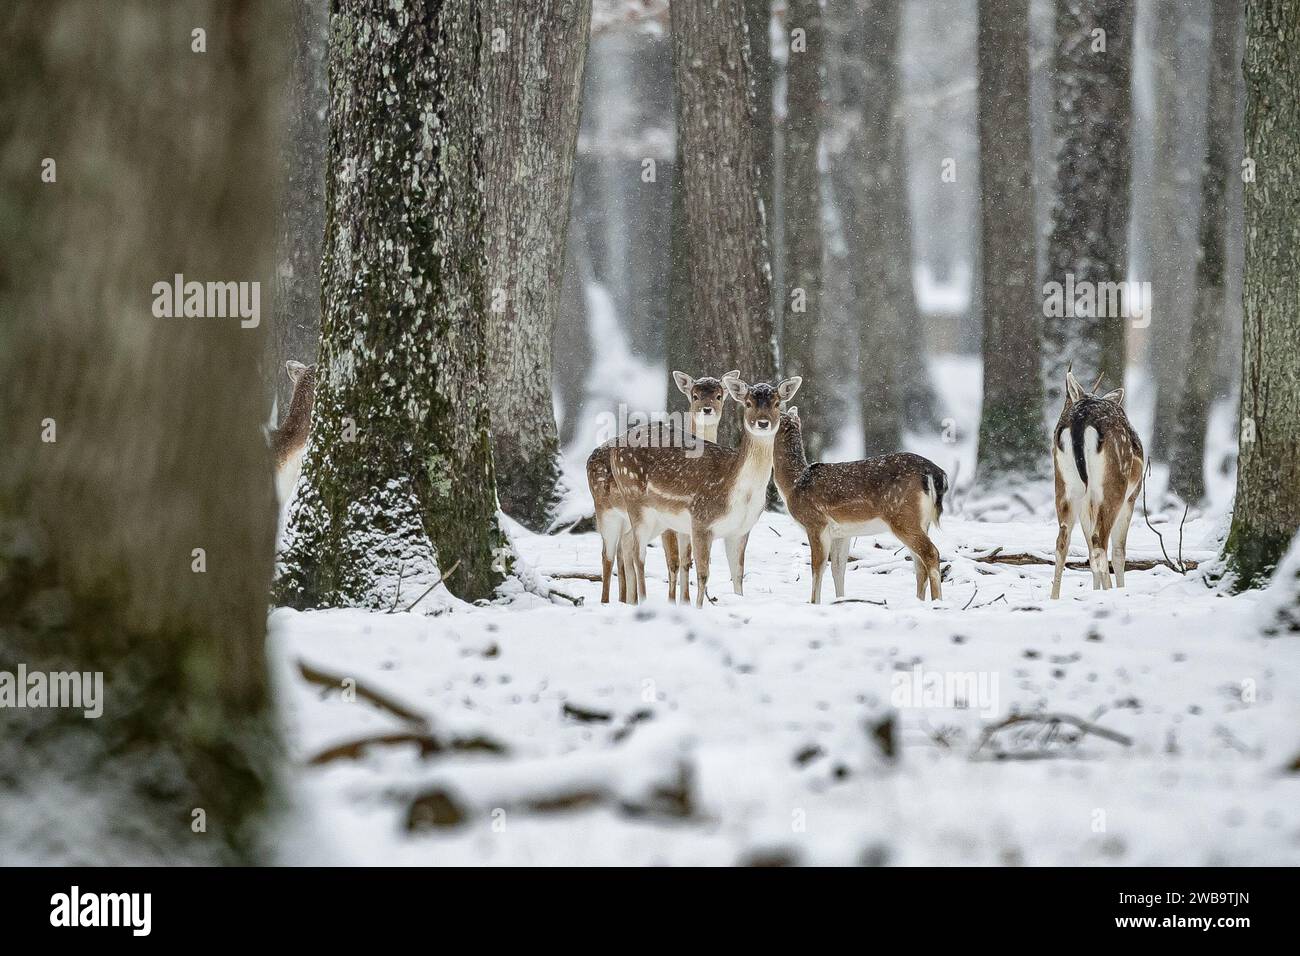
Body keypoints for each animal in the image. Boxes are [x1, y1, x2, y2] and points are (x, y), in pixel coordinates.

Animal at [585, 369, 738, 606]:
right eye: (695, 396)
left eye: (719, 395)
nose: (707, 409)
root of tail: (589, 459)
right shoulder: (670, 524)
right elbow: (673, 561)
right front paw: (672, 601)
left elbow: (686, 559)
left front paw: (684, 601)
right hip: (605, 509)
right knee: (607, 555)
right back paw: (607, 601)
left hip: (627, 518)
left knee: (623, 551)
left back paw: (628, 599)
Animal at [608, 374, 800, 606]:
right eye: (748, 403)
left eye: (777, 403)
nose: (763, 423)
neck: (739, 493)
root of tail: (614, 446)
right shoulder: (701, 520)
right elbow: (702, 574)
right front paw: (699, 607)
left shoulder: (741, 529)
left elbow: (738, 575)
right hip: (634, 497)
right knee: (638, 553)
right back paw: (643, 601)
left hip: (659, 517)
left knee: (627, 544)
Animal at [769, 405, 946, 600]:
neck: (793, 485)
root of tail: (935, 472)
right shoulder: (841, 533)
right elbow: (838, 569)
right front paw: (841, 600)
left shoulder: (815, 523)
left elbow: (818, 568)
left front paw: (814, 602)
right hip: (922, 521)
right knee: (919, 565)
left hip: (904, 517)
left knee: (931, 553)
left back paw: (937, 601)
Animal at [1050, 369, 1144, 598]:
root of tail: (1080, 420)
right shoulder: (1132, 496)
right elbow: (1119, 552)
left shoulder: (1087, 503)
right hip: (1114, 484)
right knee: (1099, 540)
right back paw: (1109, 593)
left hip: (1065, 485)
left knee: (1063, 540)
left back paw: (1053, 598)